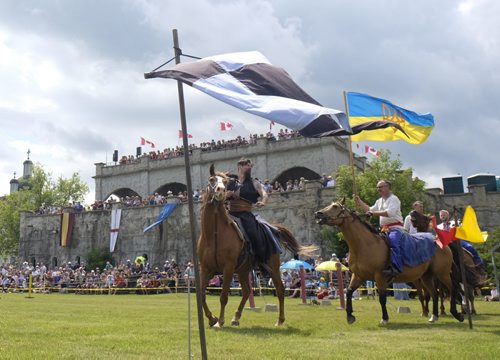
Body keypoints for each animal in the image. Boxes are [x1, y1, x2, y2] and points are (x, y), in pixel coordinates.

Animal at [198, 165, 312, 328]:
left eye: (225, 182)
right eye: (212, 179)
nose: (220, 191)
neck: (214, 234)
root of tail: (272, 228)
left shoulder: (228, 268)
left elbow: (223, 296)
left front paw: (220, 321)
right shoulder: (205, 268)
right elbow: (201, 295)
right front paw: (212, 318)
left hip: (273, 268)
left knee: (280, 289)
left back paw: (280, 320)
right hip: (243, 270)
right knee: (247, 291)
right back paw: (236, 317)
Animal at [314, 201, 462, 324]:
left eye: (335, 206)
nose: (318, 213)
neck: (364, 245)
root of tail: (441, 242)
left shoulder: (380, 277)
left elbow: (382, 298)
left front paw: (384, 319)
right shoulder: (358, 276)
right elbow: (349, 292)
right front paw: (350, 316)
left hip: (442, 273)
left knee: (453, 288)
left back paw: (457, 314)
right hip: (426, 276)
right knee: (435, 294)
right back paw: (434, 316)